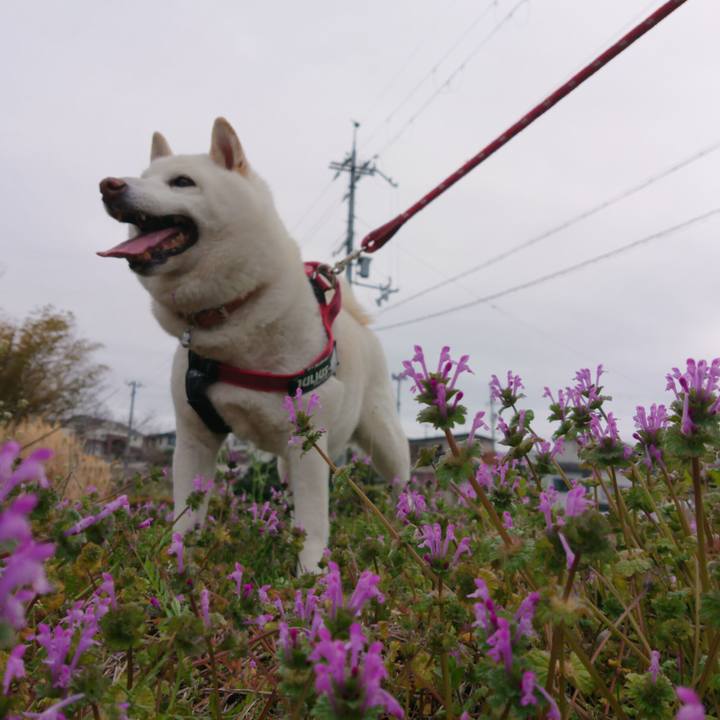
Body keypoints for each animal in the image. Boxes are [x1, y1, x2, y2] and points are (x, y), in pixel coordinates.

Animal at [98, 117, 409, 570]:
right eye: (143, 176)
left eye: (182, 182)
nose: (109, 185)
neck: (229, 318)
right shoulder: (194, 438)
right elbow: (186, 516)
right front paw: (177, 567)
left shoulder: (307, 443)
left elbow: (314, 521)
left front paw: (310, 572)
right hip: (288, 461)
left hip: (382, 440)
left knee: (402, 483)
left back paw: (410, 528)